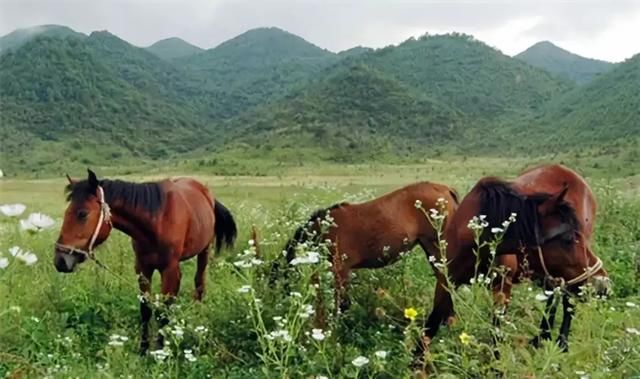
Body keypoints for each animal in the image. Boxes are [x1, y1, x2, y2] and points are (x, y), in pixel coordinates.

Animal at [53, 169, 238, 354]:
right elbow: (146, 309)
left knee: (199, 284)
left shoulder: (169, 270)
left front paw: (160, 350)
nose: (60, 261)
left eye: (82, 214)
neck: (158, 221)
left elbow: (163, 311)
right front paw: (143, 350)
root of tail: (206, 193)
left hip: (204, 251)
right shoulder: (143, 269)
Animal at [276, 183, 460, 314]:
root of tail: (446, 189)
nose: (280, 303)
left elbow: (342, 304)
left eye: (281, 280)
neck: (326, 228)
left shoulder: (341, 270)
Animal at [418, 164, 612, 362]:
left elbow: (496, 331)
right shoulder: (445, 282)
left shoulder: (503, 287)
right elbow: (431, 325)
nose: (602, 284)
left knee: (567, 301)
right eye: (568, 238)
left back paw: (561, 344)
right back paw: (542, 338)